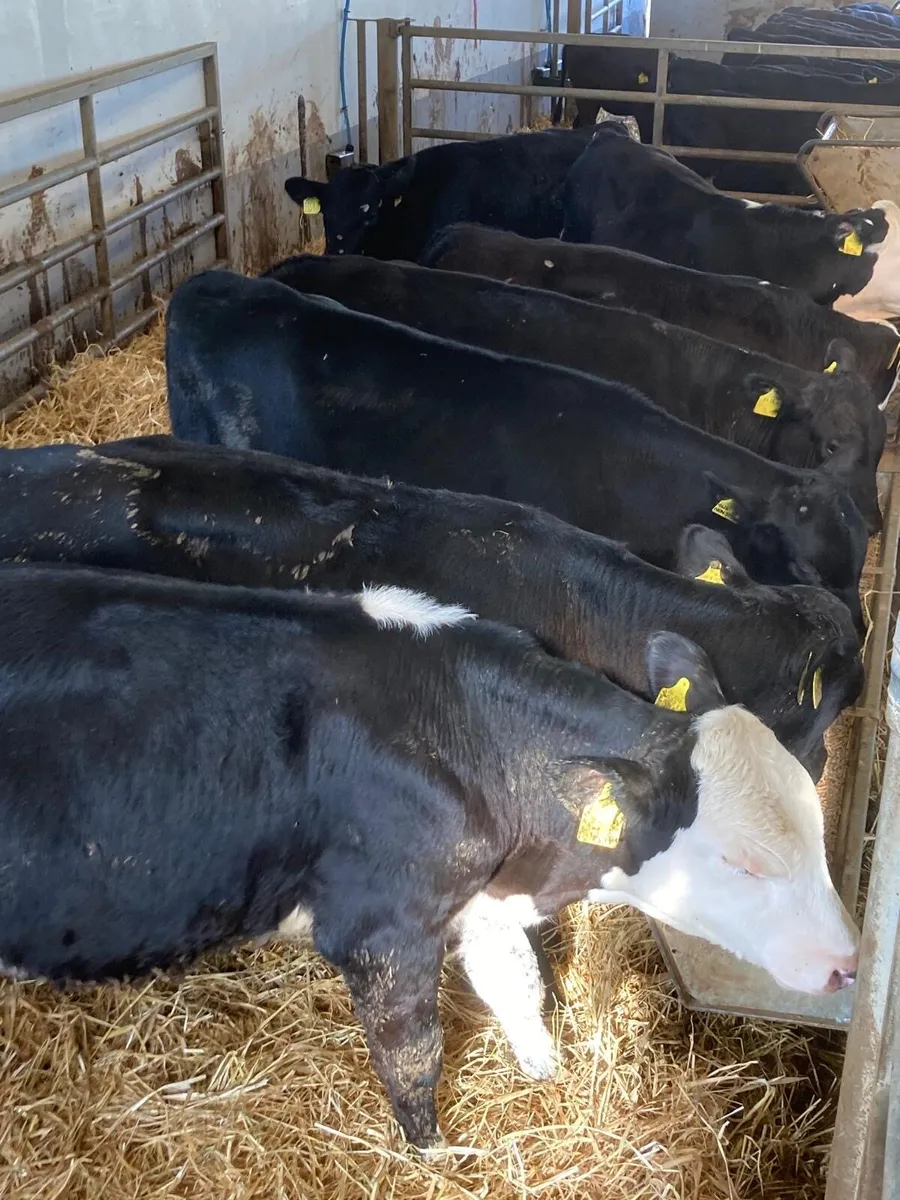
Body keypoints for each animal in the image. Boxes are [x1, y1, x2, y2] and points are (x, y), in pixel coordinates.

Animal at [0, 562, 860, 1150]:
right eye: (743, 862)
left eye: (812, 821)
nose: (848, 963)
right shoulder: (382, 929)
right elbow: (412, 1055)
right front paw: (434, 1152)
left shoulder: (477, 902)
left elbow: (515, 986)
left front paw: (543, 1072)